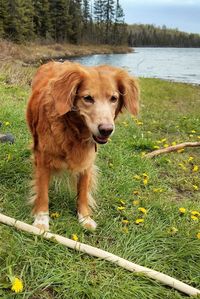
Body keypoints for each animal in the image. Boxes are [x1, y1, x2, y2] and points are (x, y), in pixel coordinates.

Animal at [26, 61, 139, 232]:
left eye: (114, 98)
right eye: (87, 98)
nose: (106, 130)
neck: (72, 129)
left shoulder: (87, 161)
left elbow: (83, 192)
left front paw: (84, 217)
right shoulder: (43, 160)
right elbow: (42, 192)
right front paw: (41, 220)